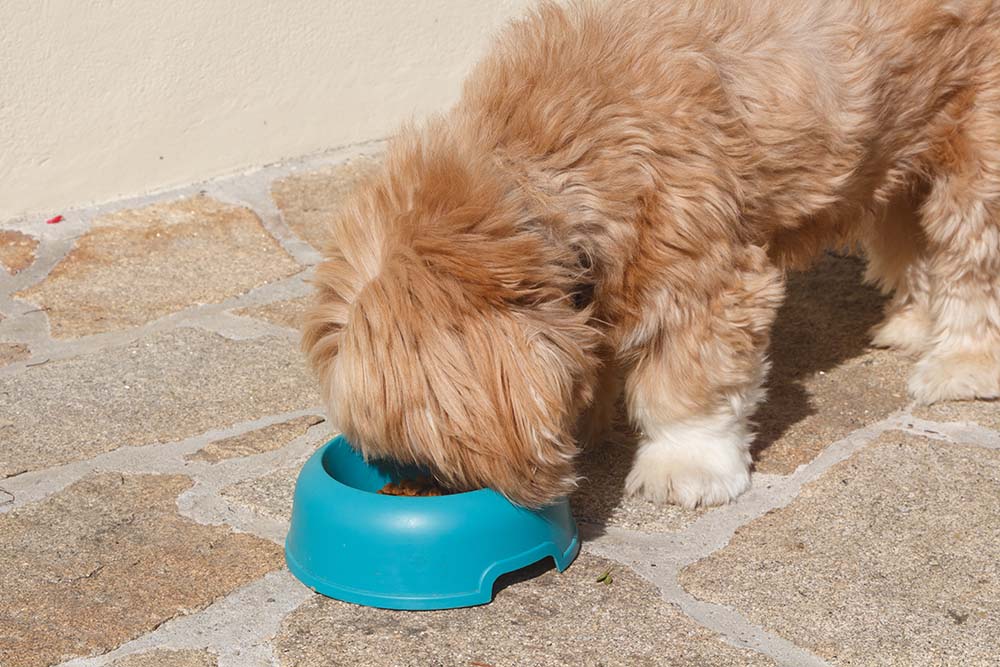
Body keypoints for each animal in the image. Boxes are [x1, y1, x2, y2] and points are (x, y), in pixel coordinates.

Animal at [302, 0, 1000, 508]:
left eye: (422, 442)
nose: (419, 481)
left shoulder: (701, 275)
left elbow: (686, 385)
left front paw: (684, 464)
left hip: (977, 145)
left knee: (972, 260)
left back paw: (962, 364)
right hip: (901, 144)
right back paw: (914, 322)